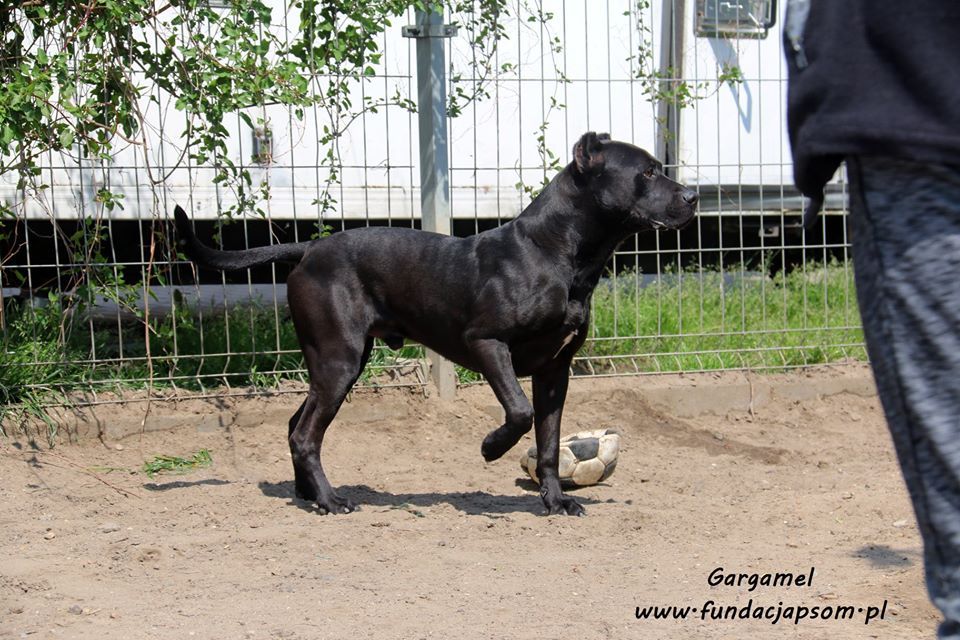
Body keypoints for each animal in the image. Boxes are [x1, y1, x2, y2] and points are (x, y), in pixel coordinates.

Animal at [174, 132, 696, 516]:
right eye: (647, 171)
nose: (695, 195)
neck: (559, 254)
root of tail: (308, 249)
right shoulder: (487, 343)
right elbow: (519, 412)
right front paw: (490, 448)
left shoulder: (556, 371)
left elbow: (548, 442)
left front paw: (556, 501)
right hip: (339, 361)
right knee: (305, 434)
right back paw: (330, 500)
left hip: (336, 363)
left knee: (295, 426)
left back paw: (307, 495)